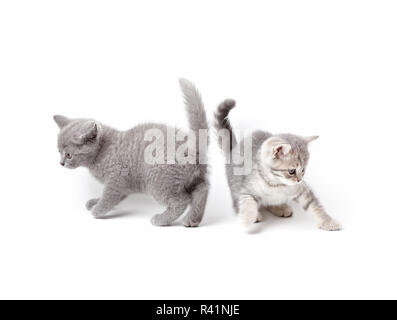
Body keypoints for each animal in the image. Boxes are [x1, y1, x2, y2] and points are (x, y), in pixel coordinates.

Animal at [54, 78, 209, 226]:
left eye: (69, 155)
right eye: (59, 151)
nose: (61, 163)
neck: (103, 150)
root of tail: (192, 147)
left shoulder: (117, 180)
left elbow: (108, 197)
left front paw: (97, 209)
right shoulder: (124, 185)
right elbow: (112, 196)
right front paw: (95, 202)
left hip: (158, 180)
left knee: (182, 201)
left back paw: (161, 219)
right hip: (192, 178)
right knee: (202, 189)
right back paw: (192, 220)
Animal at [213, 99, 340, 230]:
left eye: (303, 170)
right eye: (291, 171)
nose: (299, 180)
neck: (276, 184)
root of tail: (233, 149)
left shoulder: (302, 190)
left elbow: (314, 205)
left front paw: (328, 221)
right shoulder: (247, 189)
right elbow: (247, 202)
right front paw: (247, 219)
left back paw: (280, 207)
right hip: (234, 184)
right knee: (237, 202)